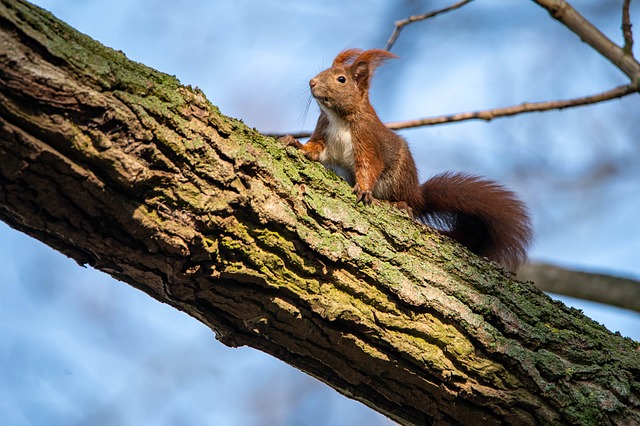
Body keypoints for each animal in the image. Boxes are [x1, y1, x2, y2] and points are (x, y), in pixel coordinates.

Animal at [281, 48, 532, 270]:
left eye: (341, 79)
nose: (312, 82)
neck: (339, 117)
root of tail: (416, 193)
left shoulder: (368, 141)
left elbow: (369, 166)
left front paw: (363, 189)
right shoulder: (323, 132)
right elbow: (316, 149)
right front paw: (297, 145)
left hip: (396, 178)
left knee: (408, 204)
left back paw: (400, 205)